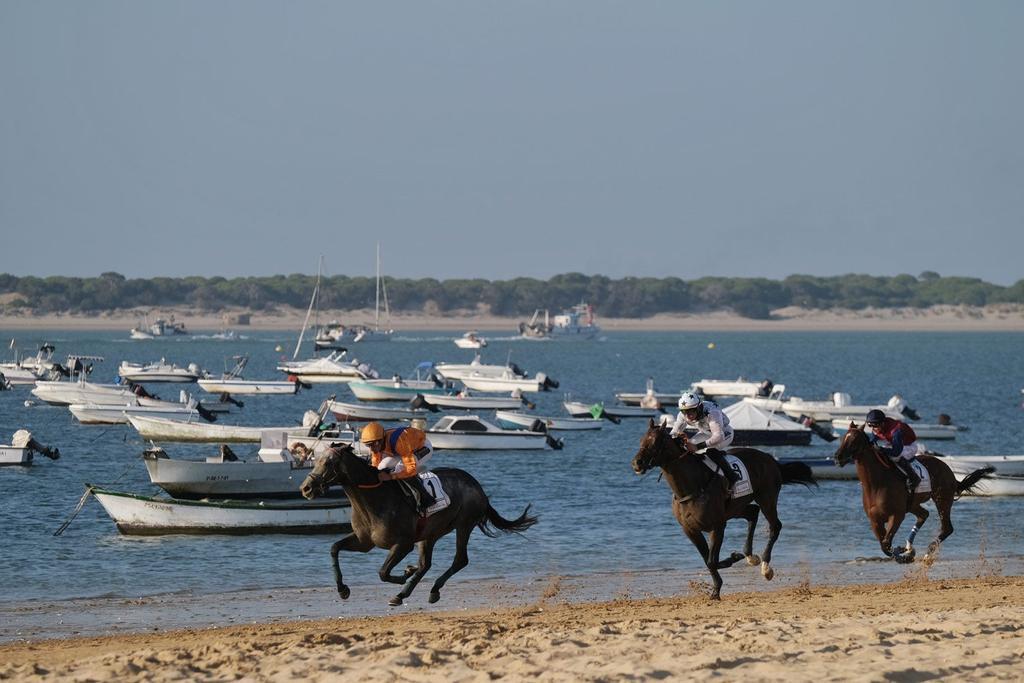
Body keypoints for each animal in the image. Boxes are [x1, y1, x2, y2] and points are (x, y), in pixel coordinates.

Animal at [301, 446, 536, 606]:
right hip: (429, 534)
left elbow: (383, 573)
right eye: (316, 460)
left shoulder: (403, 544)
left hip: (464, 524)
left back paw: (428, 590)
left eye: (329, 463)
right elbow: (334, 548)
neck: (374, 499)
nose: (306, 488)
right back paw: (405, 592)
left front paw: (405, 574)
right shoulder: (365, 542)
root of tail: (477, 486)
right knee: (426, 564)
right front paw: (342, 589)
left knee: (460, 560)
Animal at [630, 419, 815, 602]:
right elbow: (708, 560)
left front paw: (719, 586)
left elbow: (711, 561)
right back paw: (750, 556)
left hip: (767, 498)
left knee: (775, 526)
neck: (692, 486)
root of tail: (770, 459)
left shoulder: (717, 526)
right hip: (735, 508)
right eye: (641, 440)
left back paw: (765, 567)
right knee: (753, 513)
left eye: (655, 441)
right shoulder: (690, 530)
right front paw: (731, 564)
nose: (637, 463)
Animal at [831, 423, 991, 565]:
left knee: (946, 528)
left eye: (855, 440)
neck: (876, 484)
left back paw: (927, 553)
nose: (837, 457)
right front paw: (905, 552)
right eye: (843, 438)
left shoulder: (896, 515)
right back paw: (909, 547)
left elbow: (887, 544)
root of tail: (948, 470)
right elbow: (884, 545)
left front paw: (903, 554)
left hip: (942, 499)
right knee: (924, 515)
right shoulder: (875, 520)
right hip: (914, 504)